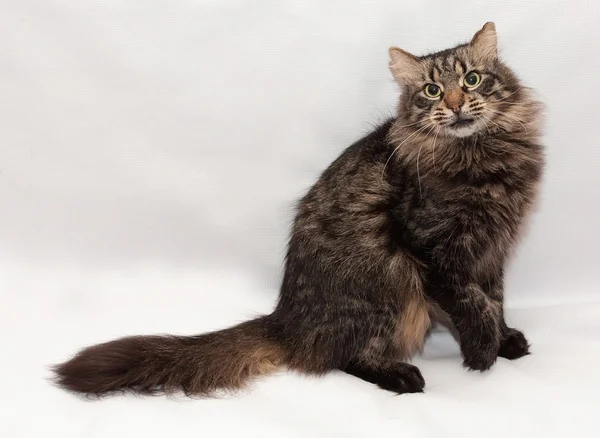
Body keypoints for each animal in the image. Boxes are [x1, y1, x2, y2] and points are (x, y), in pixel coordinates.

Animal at [52, 22, 544, 396]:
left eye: (472, 80)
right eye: (432, 90)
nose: (456, 105)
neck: (478, 156)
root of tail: (287, 321)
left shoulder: (492, 248)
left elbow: (494, 299)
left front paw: (503, 340)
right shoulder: (433, 249)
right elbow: (470, 303)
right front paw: (481, 352)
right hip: (389, 277)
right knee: (345, 357)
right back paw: (400, 375)